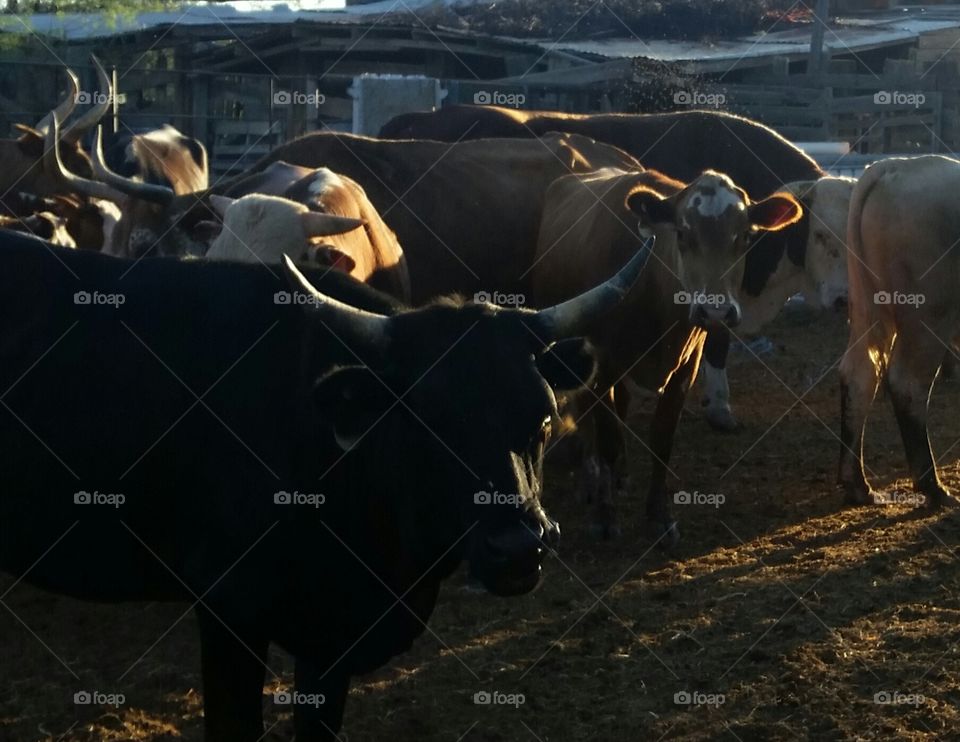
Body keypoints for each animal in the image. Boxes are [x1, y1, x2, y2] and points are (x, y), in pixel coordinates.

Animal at [532, 167, 802, 539]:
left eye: (746, 236)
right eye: (683, 234)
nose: (716, 312)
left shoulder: (685, 368)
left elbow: (661, 439)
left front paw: (658, 515)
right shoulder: (601, 367)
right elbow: (606, 438)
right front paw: (605, 516)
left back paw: (621, 475)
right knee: (590, 423)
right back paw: (591, 481)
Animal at [839, 155, 960, 509]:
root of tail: (896, 165)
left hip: (865, 307)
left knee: (859, 377)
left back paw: (858, 485)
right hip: (928, 317)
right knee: (908, 384)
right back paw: (933, 487)